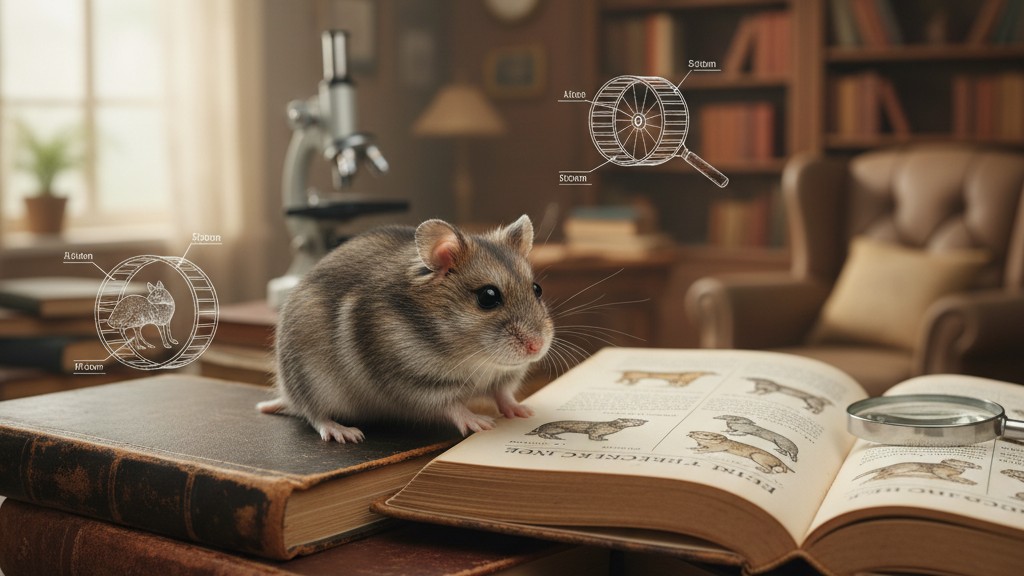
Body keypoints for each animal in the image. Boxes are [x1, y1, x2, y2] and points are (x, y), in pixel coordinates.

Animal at [257, 215, 553, 443]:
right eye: (488, 297)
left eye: (537, 289)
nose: (536, 347)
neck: (476, 359)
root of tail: (286, 393)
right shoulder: (412, 381)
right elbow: (451, 404)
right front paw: (481, 423)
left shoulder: (503, 376)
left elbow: (503, 394)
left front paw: (524, 411)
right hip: (311, 380)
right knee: (313, 414)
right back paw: (345, 433)